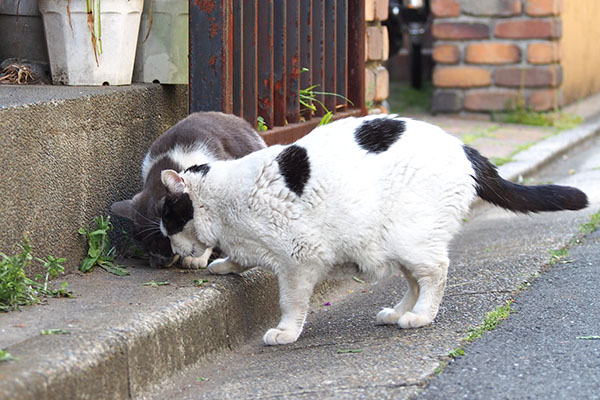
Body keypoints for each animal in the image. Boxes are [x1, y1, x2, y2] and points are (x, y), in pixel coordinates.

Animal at [158, 114, 584, 346]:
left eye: (167, 219)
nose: (169, 247)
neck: (225, 198)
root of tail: (465, 148)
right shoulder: (256, 246)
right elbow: (239, 258)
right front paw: (223, 265)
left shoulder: (299, 260)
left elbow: (291, 303)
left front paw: (286, 332)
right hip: (395, 246)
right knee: (415, 281)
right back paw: (398, 313)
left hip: (412, 240)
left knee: (436, 273)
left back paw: (420, 317)